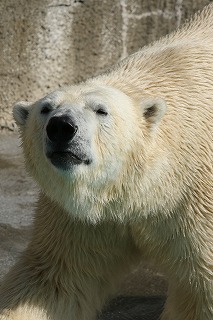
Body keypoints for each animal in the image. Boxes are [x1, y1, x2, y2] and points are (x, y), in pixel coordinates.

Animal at [0, 3, 213, 320]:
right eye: (46, 108)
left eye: (101, 110)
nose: (61, 127)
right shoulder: (84, 214)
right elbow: (55, 276)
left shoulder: (194, 201)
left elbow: (199, 290)